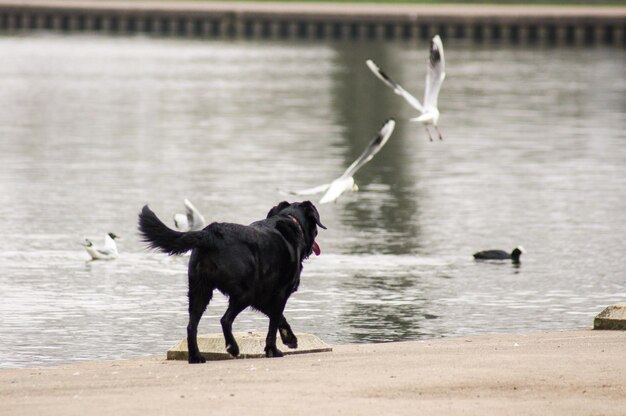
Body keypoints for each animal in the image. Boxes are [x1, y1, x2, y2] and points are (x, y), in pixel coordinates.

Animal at [135, 200, 322, 362]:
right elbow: (273, 324)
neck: (291, 221)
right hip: (244, 293)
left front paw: (290, 338)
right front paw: (272, 350)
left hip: (200, 291)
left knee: (191, 326)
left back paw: (196, 357)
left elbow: (279, 318)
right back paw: (232, 347)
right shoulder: (279, 293)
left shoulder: (262, 297)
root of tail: (210, 233)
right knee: (225, 320)